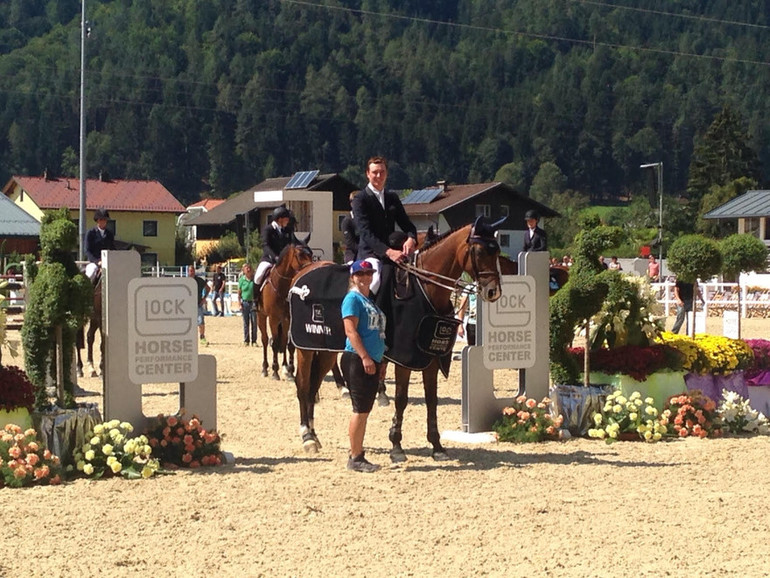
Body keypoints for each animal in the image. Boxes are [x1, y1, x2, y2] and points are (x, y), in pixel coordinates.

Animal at [258, 237, 312, 378]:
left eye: (311, 253)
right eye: (300, 254)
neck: (281, 286)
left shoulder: (288, 318)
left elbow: (288, 344)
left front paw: (291, 370)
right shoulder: (273, 318)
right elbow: (274, 343)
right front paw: (275, 371)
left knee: (282, 341)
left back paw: (285, 367)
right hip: (261, 315)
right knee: (265, 339)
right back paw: (265, 368)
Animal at [290, 216, 504, 460]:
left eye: (497, 250)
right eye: (479, 252)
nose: (493, 292)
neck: (425, 288)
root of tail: (303, 272)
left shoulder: (430, 357)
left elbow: (432, 399)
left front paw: (437, 445)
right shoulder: (405, 358)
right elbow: (401, 398)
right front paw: (396, 445)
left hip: (328, 350)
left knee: (314, 384)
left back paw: (315, 436)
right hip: (304, 347)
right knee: (303, 384)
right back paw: (307, 436)